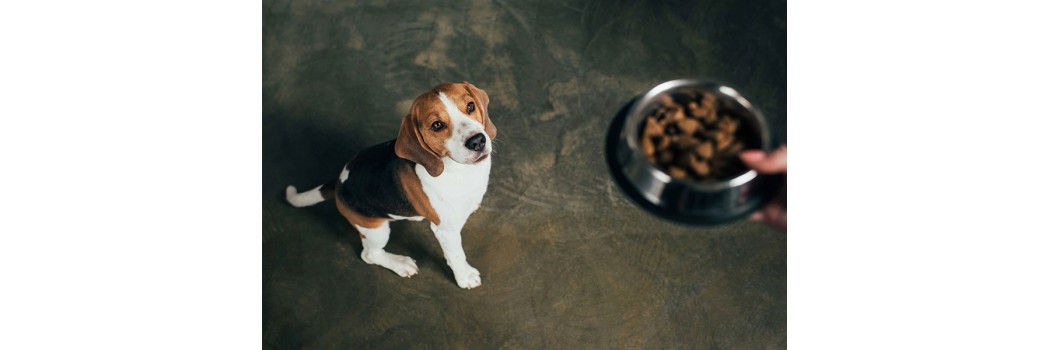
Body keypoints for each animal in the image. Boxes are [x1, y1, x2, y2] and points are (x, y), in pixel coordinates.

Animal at [285, 81, 497, 287]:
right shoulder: (446, 231)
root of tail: (339, 182)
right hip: (375, 230)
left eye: (470, 106)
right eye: (437, 125)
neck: (460, 171)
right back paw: (400, 263)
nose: (477, 141)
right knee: (369, 255)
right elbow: (456, 255)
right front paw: (465, 277)